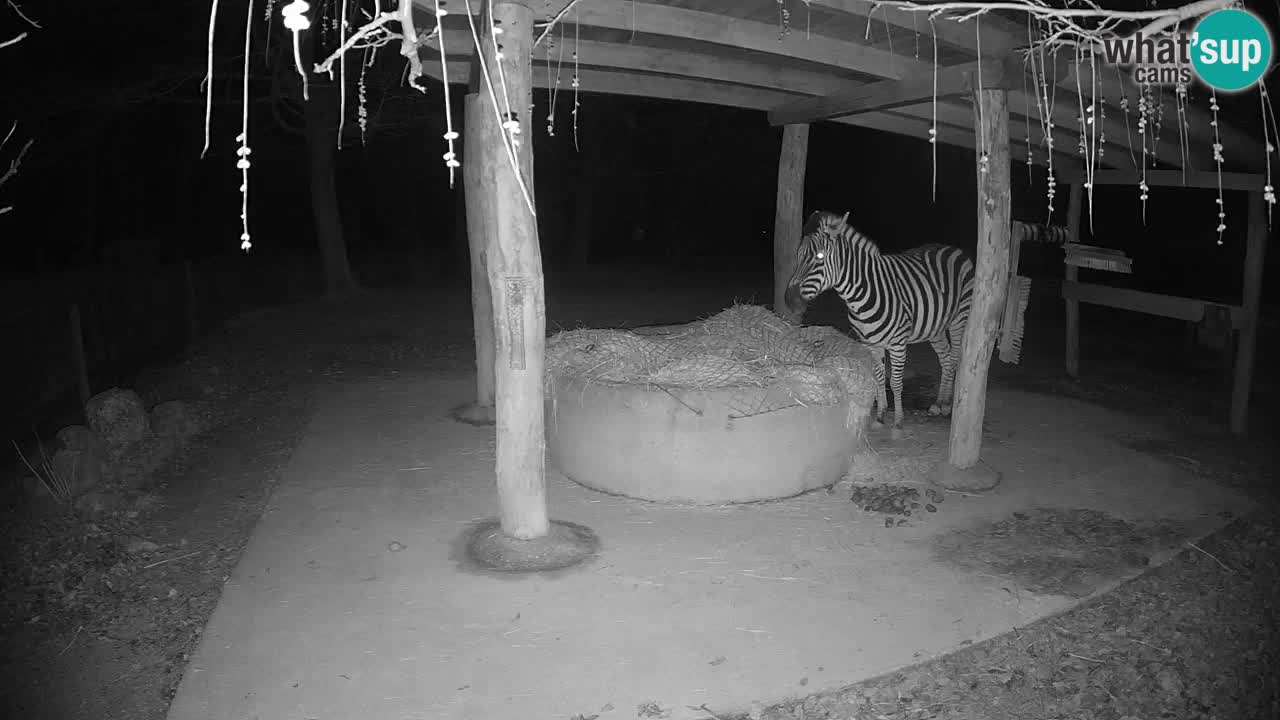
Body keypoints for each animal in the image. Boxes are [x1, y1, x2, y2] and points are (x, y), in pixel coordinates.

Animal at [783, 208, 972, 438]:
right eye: (799, 255)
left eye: (819, 257)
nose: (789, 301)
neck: (860, 296)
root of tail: (953, 248)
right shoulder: (871, 343)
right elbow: (880, 378)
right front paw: (881, 416)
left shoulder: (898, 344)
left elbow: (896, 382)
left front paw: (898, 422)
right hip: (935, 327)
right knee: (945, 358)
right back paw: (938, 403)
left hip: (959, 319)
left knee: (953, 358)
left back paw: (946, 405)